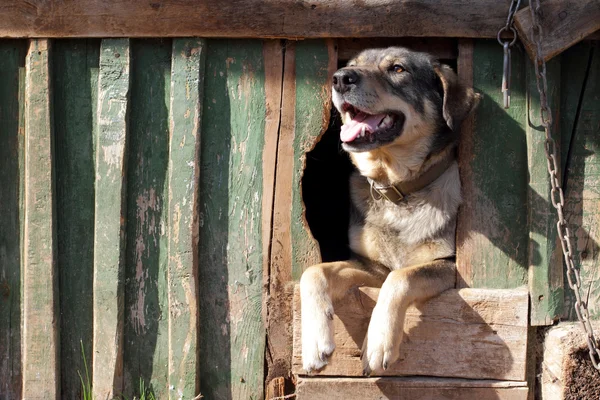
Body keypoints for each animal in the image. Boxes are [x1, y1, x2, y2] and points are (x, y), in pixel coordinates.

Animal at [302, 47, 480, 376]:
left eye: (398, 69)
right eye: (352, 65)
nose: (340, 78)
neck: (396, 189)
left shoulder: (448, 267)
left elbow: (400, 278)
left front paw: (378, 343)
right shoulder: (371, 266)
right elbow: (315, 271)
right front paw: (314, 343)